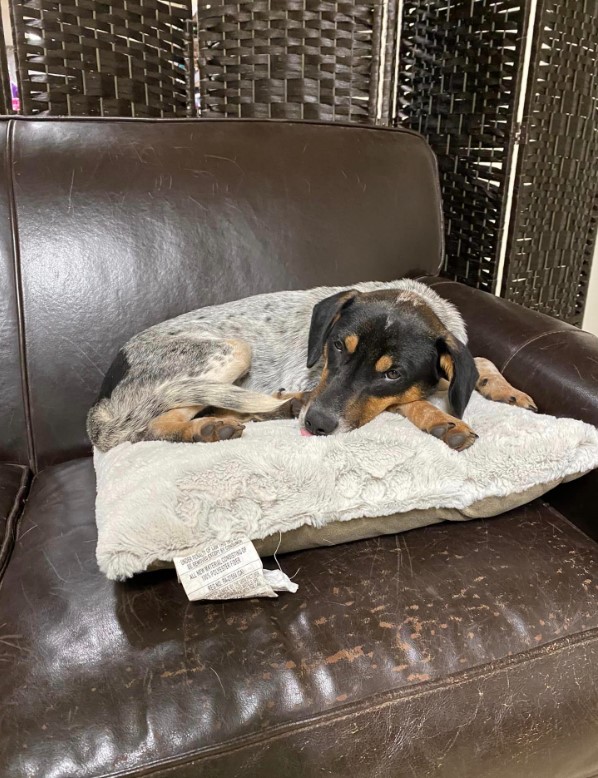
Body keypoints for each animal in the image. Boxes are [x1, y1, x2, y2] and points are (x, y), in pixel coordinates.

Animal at [88, 278, 540, 452]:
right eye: (336, 346)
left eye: (392, 372)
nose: (315, 424)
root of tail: (101, 403)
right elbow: (411, 402)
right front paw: (444, 421)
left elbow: (478, 360)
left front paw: (507, 389)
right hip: (232, 351)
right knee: (153, 425)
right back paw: (210, 428)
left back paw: (277, 406)